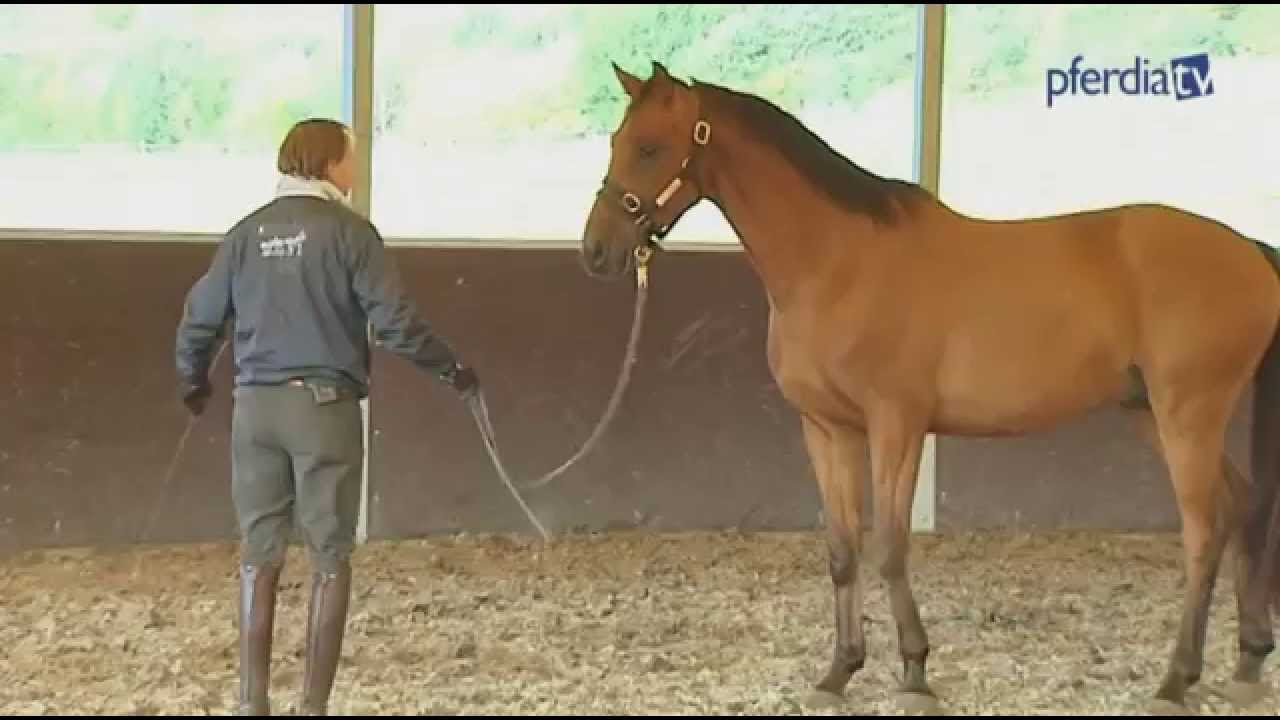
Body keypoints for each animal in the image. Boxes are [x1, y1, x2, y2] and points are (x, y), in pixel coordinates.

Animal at [583, 63, 1280, 712]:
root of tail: (1250, 250)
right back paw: (1247, 662)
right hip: (1152, 412)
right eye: (618, 140)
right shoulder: (827, 429)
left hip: (1188, 413)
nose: (595, 251)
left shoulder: (897, 424)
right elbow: (842, 549)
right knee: (1243, 504)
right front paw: (839, 673)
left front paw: (915, 673)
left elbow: (891, 546)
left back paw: (1175, 680)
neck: (838, 263)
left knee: (1204, 531)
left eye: (650, 147)